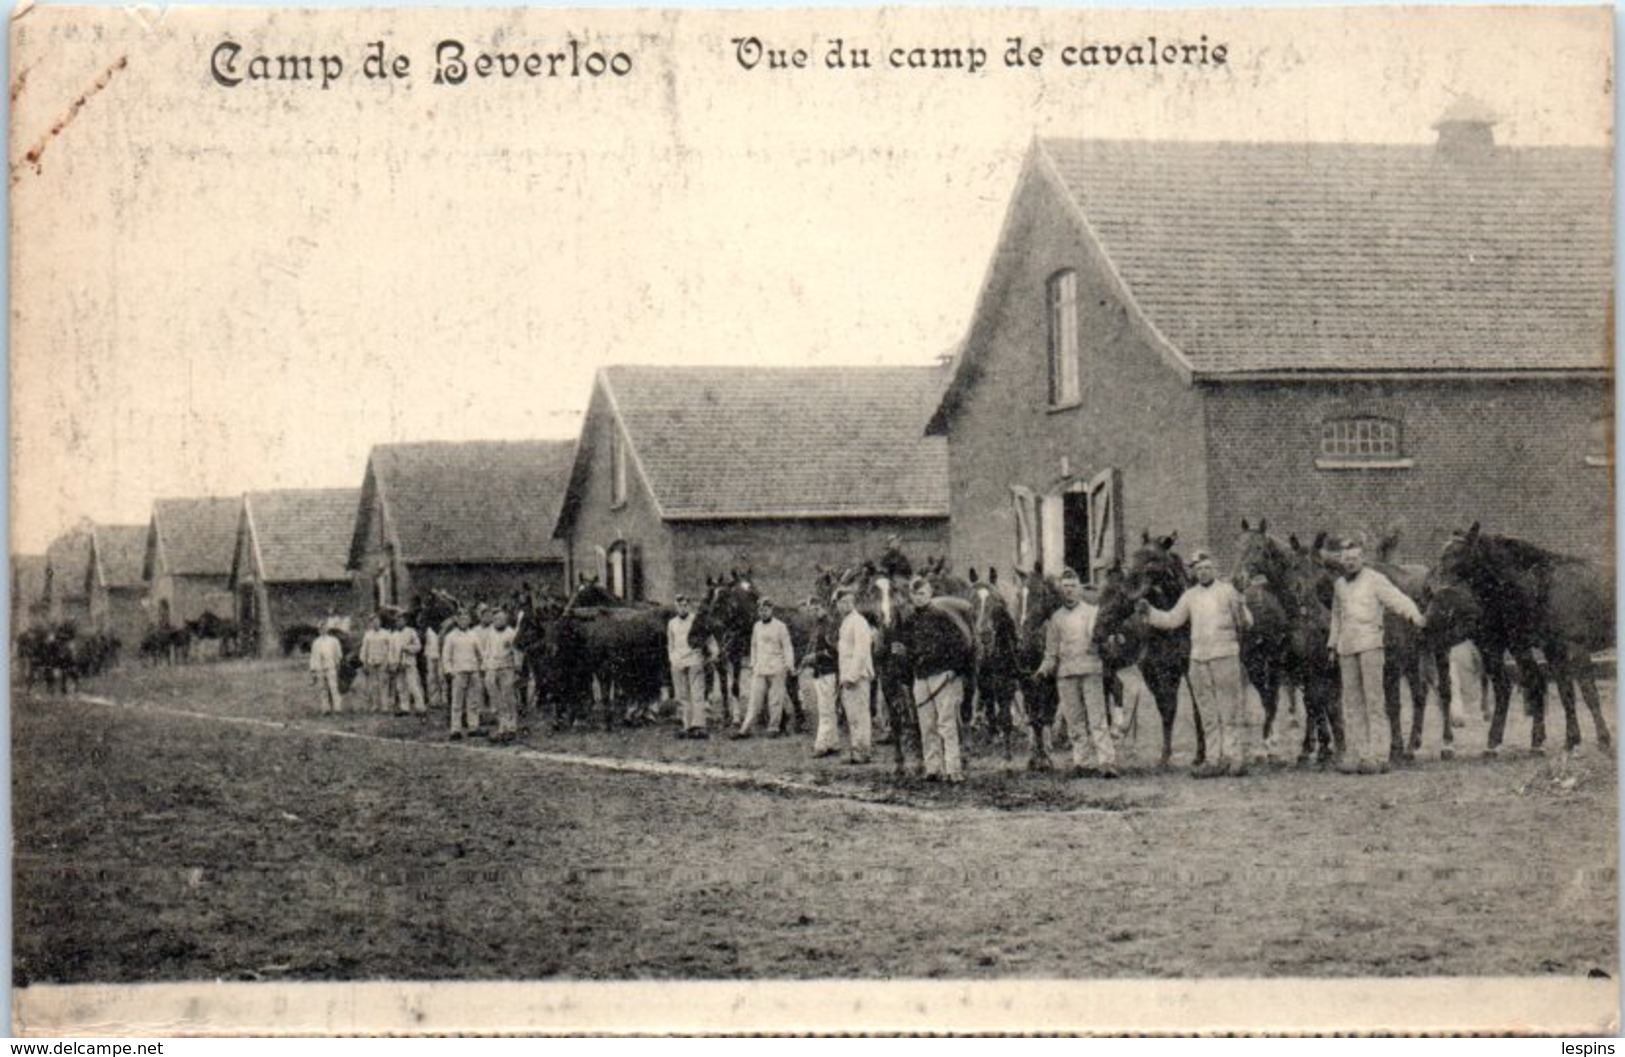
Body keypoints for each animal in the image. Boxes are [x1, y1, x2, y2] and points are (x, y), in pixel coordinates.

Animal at [1085, 536, 1202, 764]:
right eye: (1134, 558)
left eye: (1152, 562)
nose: (1097, 631)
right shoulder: (1151, 670)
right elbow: (1166, 707)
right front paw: (1165, 755)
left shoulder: (1181, 668)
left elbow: (1186, 705)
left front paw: (1198, 754)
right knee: (1112, 688)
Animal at [1436, 523, 1612, 754]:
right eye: (1442, 555)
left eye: (1458, 555)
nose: (1439, 593)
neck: (1546, 586)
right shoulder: (1553, 651)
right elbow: (1565, 693)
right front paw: (1571, 740)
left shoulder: (1576, 649)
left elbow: (1589, 693)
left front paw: (1603, 739)